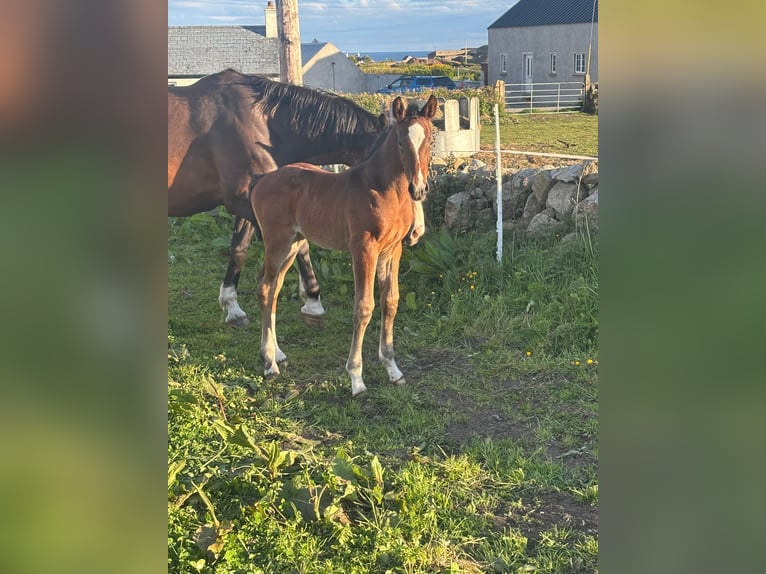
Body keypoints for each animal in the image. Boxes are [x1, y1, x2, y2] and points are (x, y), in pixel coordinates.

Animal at [168, 69, 388, 328]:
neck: (263, 122)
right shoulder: (247, 202)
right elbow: (301, 245)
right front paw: (313, 301)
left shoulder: (253, 203)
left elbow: (239, 249)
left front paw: (232, 307)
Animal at [250, 95, 438, 396]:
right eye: (400, 141)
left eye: (430, 140)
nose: (418, 189)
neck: (383, 190)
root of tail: (260, 181)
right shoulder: (363, 248)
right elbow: (364, 307)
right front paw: (356, 378)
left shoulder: (392, 250)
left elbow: (391, 301)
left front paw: (393, 369)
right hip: (277, 241)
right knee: (266, 288)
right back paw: (269, 363)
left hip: (293, 244)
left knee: (273, 288)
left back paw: (276, 353)